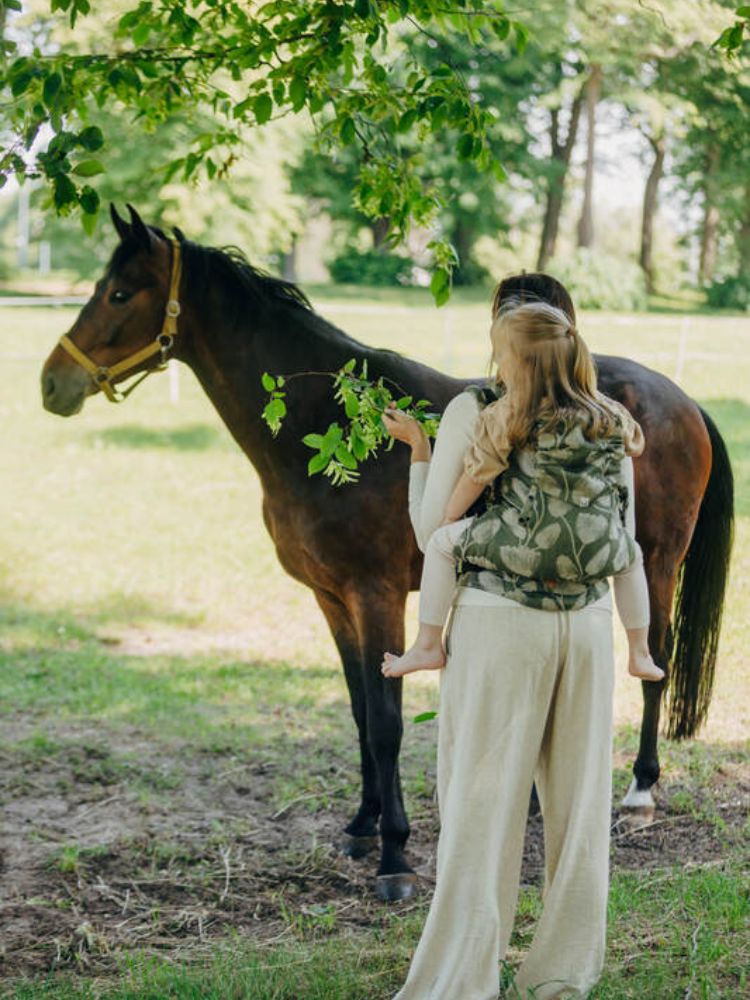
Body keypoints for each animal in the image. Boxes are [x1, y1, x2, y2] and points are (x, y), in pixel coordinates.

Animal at [39, 207, 736, 904]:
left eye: (120, 293)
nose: (52, 384)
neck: (332, 426)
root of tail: (684, 401)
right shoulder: (331, 599)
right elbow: (358, 712)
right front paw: (361, 826)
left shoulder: (376, 595)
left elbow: (387, 722)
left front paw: (395, 854)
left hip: (655, 566)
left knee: (654, 666)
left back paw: (641, 790)